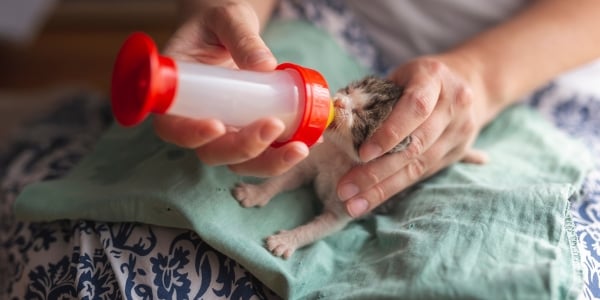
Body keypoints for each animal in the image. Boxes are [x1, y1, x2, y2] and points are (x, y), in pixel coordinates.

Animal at [232, 75, 414, 258]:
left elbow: (315, 229)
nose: (339, 102)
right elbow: (282, 179)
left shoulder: (347, 205)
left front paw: (286, 240)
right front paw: (255, 193)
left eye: (360, 115)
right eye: (349, 90)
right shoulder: (308, 165)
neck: (340, 154)